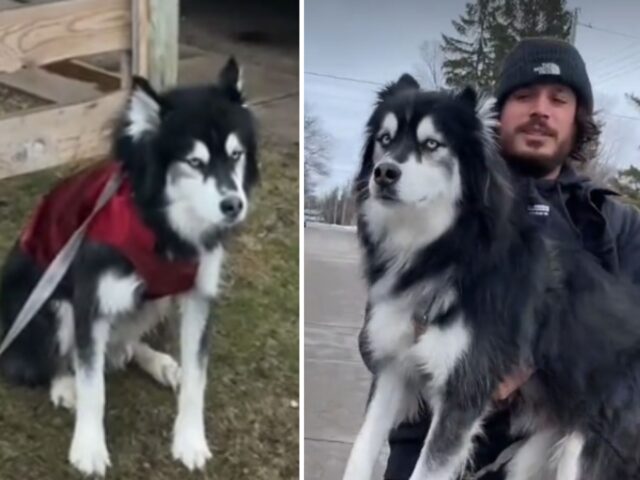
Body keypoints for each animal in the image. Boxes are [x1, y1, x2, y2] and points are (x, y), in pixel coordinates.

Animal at [1, 58, 260, 474]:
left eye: (236, 155)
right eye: (194, 161)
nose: (233, 206)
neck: (164, 225)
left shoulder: (198, 297)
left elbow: (197, 380)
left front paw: (190, 441)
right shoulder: (89, 301)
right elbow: (93, 385)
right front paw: (89, 447)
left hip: (153, 300)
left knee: (124, 341)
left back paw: (156, 361)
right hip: (52, 303)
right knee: (55, 359)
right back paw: (64, 384)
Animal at [342, 73, 640, 478]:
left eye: (432, 144)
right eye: (385, 140)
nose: (384, 172)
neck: (443, 250)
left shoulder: (464, 391)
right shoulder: (393, 368)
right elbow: (360, 450)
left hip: (586, 449)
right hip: (532, 455)